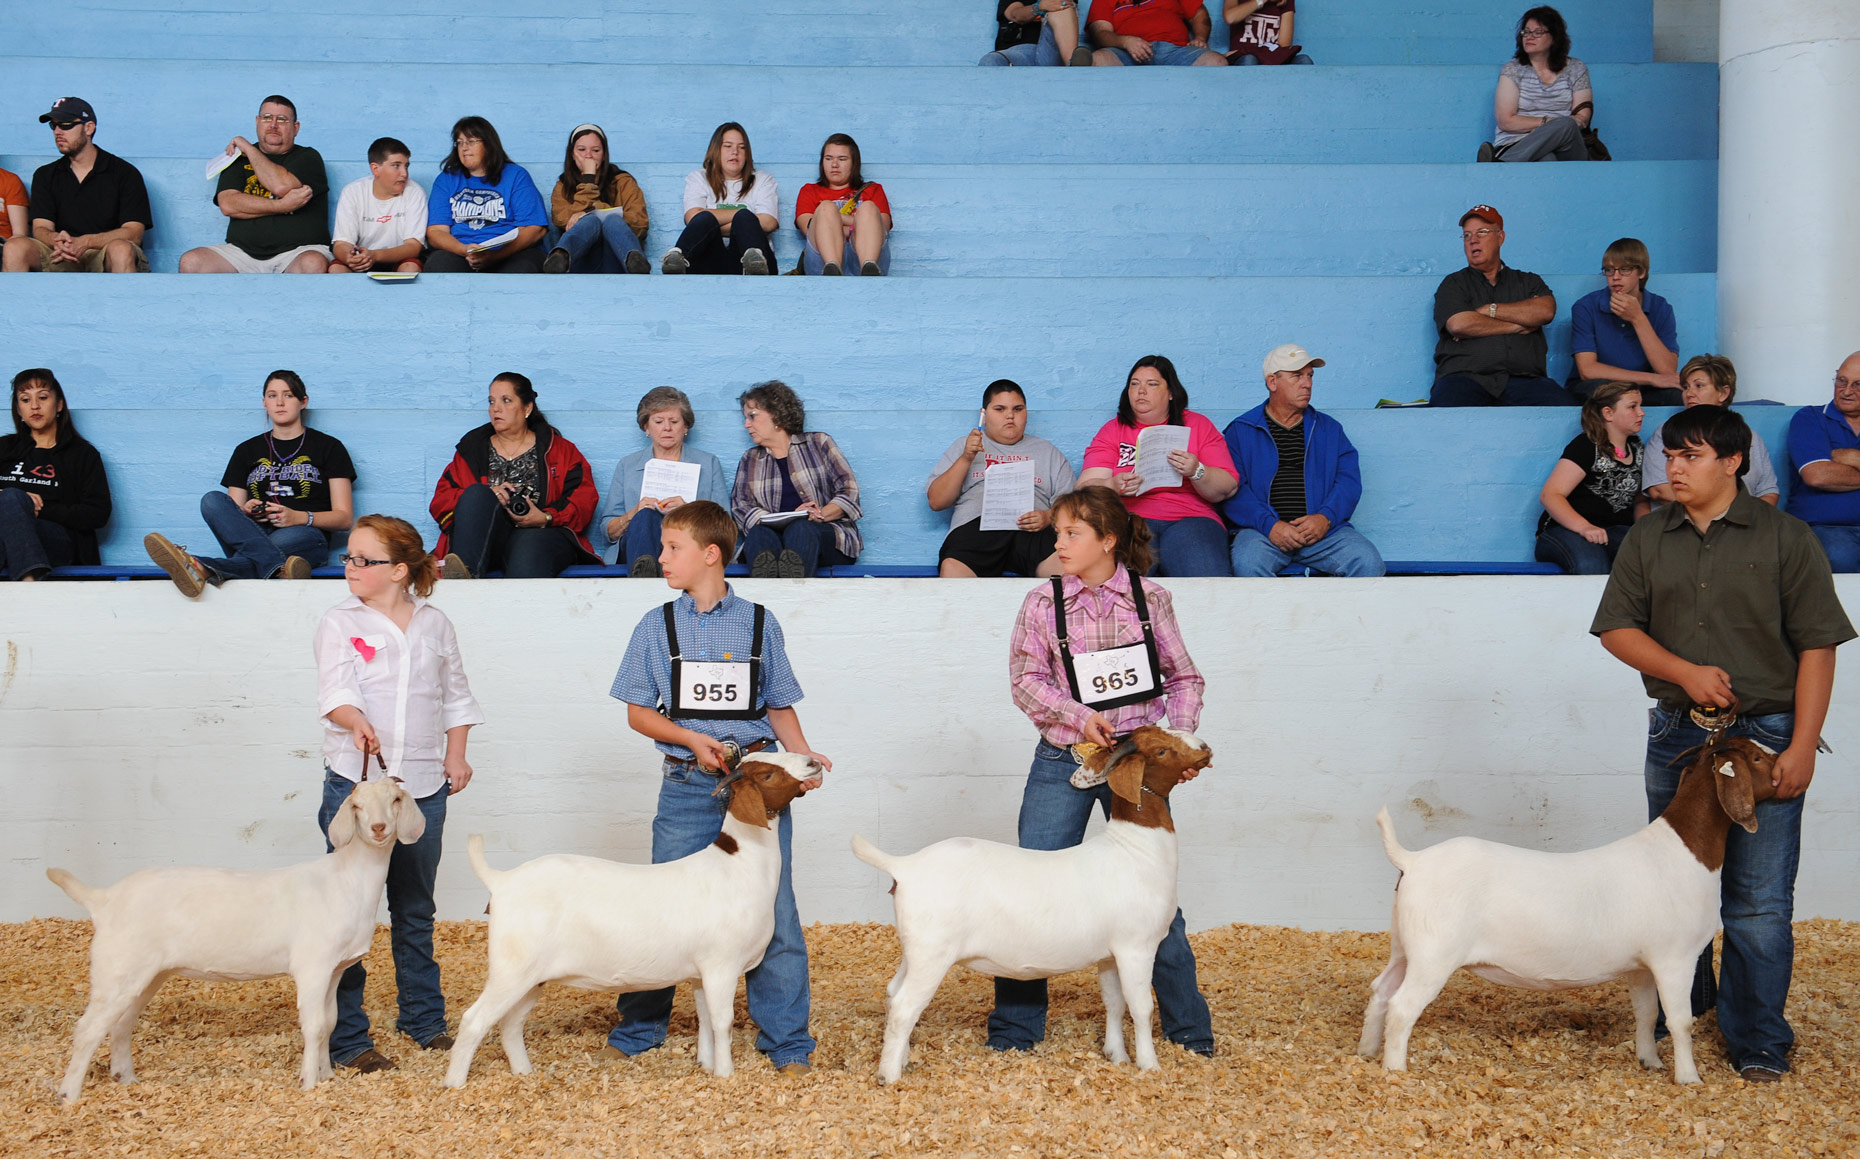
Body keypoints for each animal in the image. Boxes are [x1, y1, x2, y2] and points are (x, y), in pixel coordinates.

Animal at [44, 773, 425, 1101]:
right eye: (357, 805)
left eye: (395, 799)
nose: (379, 828)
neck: (346, 880)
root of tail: (103, 899)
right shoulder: (312, 966)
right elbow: (314, 1025)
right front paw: (308, 1082)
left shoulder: (335, 969)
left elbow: (328, 1024)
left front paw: (326, 1076)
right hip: (117, 968)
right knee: (88, 1029)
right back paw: (69, 1096)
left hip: (147, 974)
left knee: (121, 1024)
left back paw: (126, 1078)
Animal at [438, 751, 818, 1086]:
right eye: (768, 774)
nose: (813, 762)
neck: (738, 866)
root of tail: (500, 880)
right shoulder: (720, 965)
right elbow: (722, 1021)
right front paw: (725, 1074)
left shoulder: (700, 973)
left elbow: (706, 1020)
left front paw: (707, 1066)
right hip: (510, 968)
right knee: (474, 1020)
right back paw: (455, 1083)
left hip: (533, 977)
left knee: (510, 1024)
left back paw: (524, 1074)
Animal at [851, 725, 1212, 1086]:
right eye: (1161, 751)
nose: (1205, 747)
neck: (1134, 848)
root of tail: (904, 866)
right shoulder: (1136, 947)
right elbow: (1141, 1007)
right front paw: (1149, 1066)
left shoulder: (1109, 955)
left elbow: (1114, 1003)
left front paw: (1118, 1057)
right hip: (932, 954)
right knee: (904, 1007)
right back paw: (890, 1076)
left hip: (914, 950)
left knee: (893, 992)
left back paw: (902, 1059)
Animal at [1361, 740, 1778, 1086]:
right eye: (1757, 758)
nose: (1784, 769)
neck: (1684, 852)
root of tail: (1412, 860)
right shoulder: (1675, 957)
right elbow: (1680, 1021)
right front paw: (1689, 1079)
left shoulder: (1641, 965)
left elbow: (1645, 1014)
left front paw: (1650, 1062)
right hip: (1433, 954)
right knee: (1402, 1006)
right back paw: (1395, 1070)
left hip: (1405, 947)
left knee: (1381, 990)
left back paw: (1366, 1052)